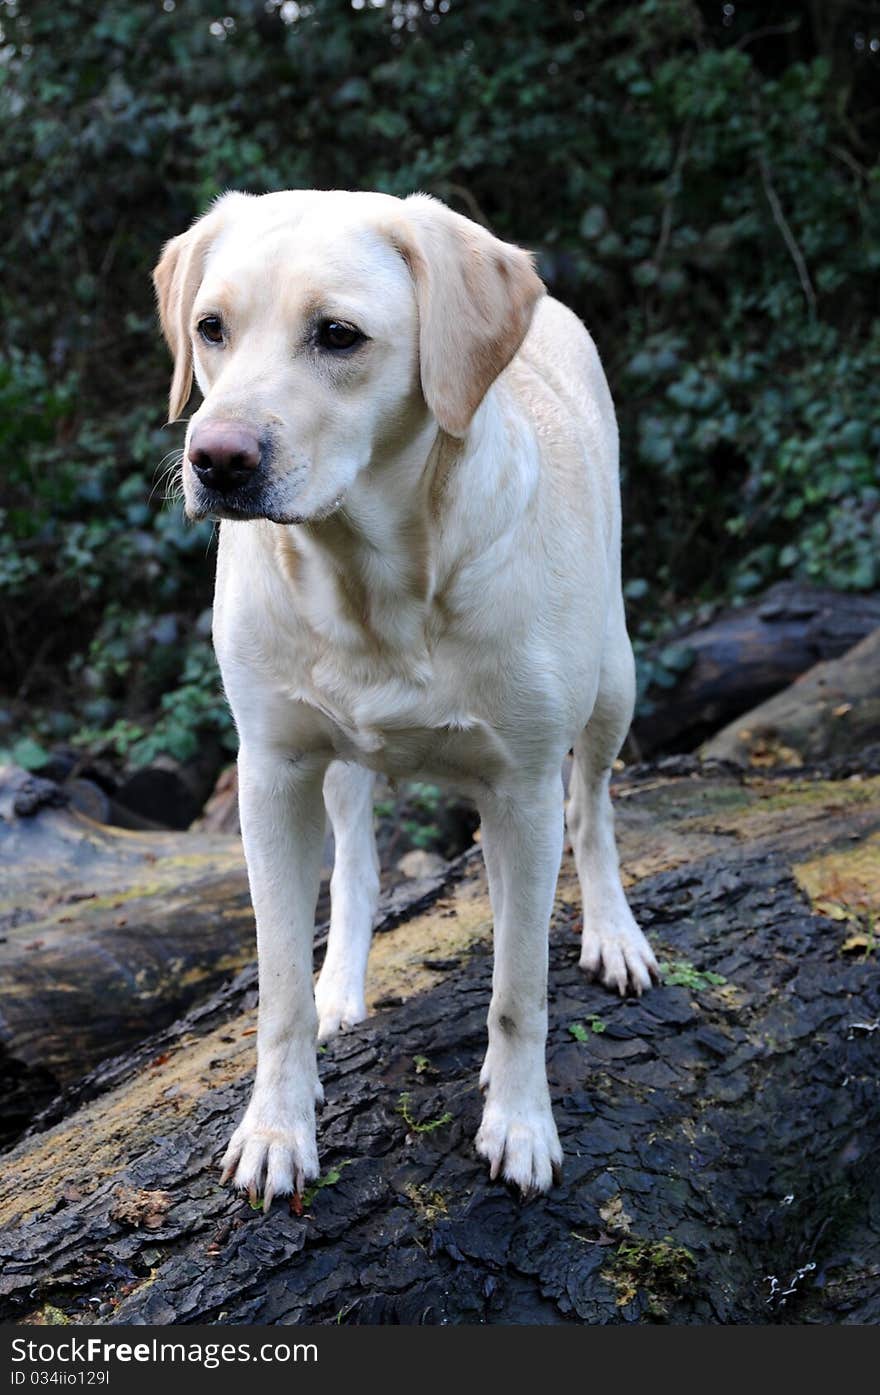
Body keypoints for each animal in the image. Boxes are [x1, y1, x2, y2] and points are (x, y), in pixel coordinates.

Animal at [154, 191, 658, 1205]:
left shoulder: (523, 787)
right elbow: (276, 986)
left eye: (338, 335)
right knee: (355, 864)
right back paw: (342, 985)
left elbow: (519, 990)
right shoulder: (271, 771)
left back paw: (613, 933)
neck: (371, 579)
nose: (215, 458)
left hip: (612, 683)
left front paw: (520, 1122)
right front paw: (277, 1127)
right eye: (211, 328)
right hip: (339, 763)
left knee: (591, 812)